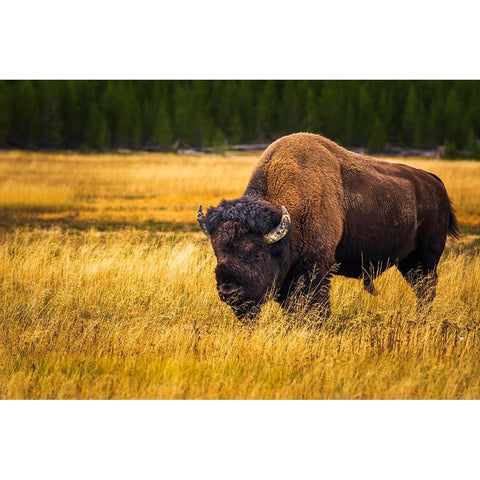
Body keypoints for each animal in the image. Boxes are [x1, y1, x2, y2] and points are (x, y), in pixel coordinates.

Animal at [197, 131, 460, 322]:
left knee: (426, 289)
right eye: (217, 251)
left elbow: (315, 305)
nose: (228, 291)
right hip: (408, 262)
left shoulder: (317, 269)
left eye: (257, 253)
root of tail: (435, 182)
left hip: (425, 259)